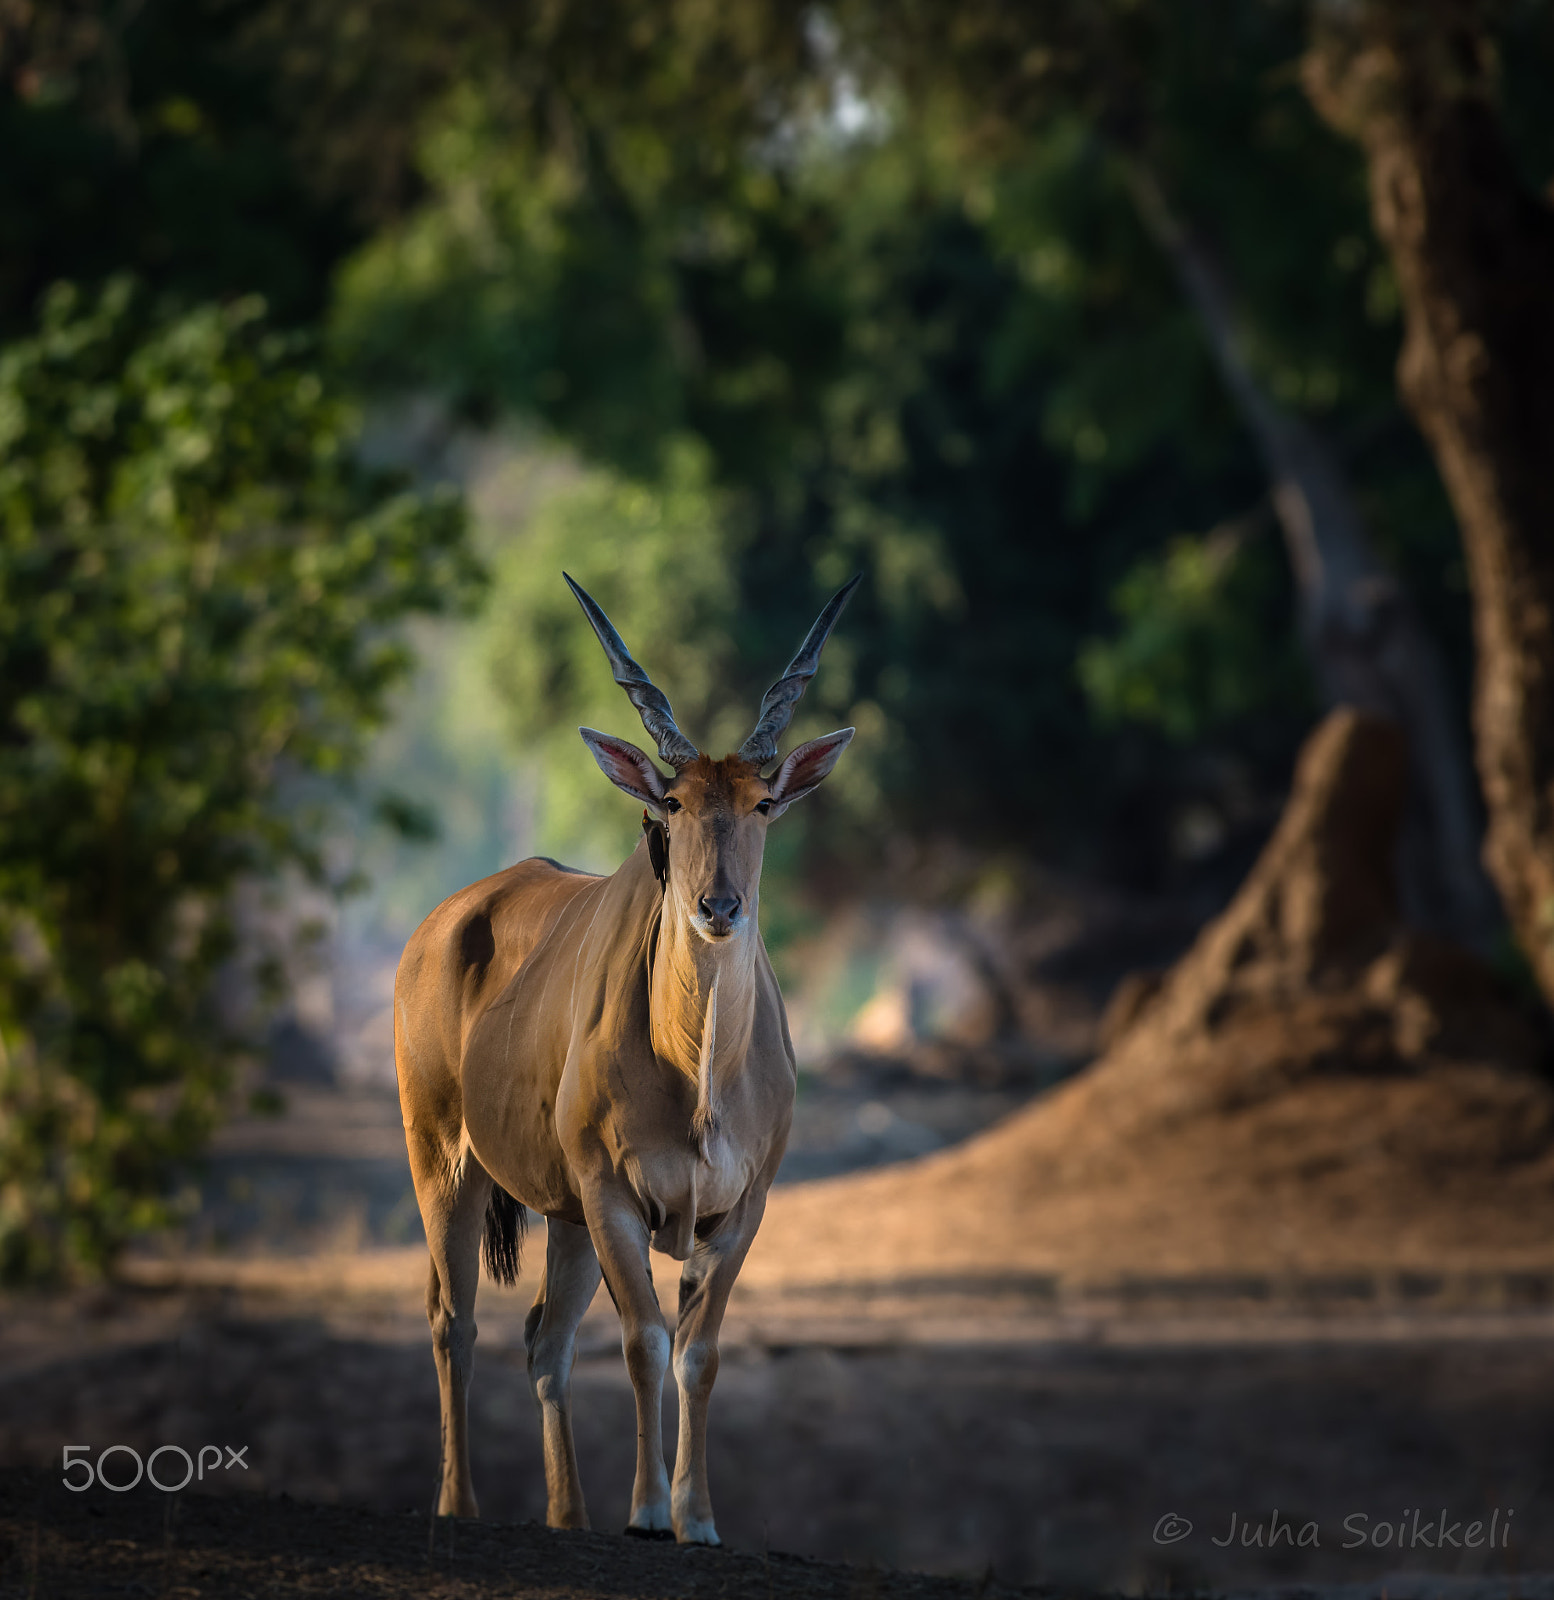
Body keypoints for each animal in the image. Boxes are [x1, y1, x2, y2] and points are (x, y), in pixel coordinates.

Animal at [392, 569, 864, 1542]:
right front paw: (647, 1512)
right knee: (454, 1319)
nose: (718, 905)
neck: (700, 1077)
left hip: (563, 1214)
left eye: (763, 803)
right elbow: (645, 1341)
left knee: (544, 1341)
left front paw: (699, 1519)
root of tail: (441, 923)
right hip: (444, 1158)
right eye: (673, 804)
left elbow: (699, 1351)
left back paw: (568, 1514)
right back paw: (460, 1504)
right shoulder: (613, 1195)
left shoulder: (739, 1208)